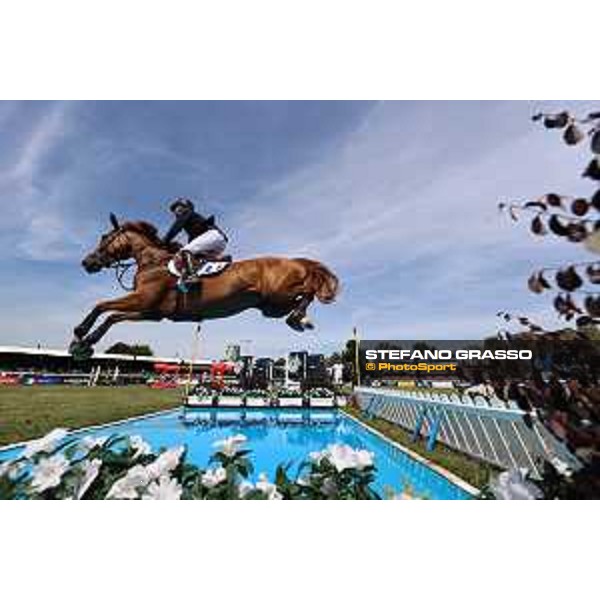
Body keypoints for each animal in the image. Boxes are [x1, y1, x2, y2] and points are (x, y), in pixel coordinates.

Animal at [68, 214, 340, 358]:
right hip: (271, 306)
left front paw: (80, 334)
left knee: (309, 290)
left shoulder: (143, 299)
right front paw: (84, 343)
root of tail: (295, 261)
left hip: (277, 295)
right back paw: (301, 319)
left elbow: (102, 305)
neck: (152, 261)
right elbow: (113, 316)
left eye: (105, 238)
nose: (87, 262)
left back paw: (298, 318)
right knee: (301, 298)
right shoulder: (151, 311)